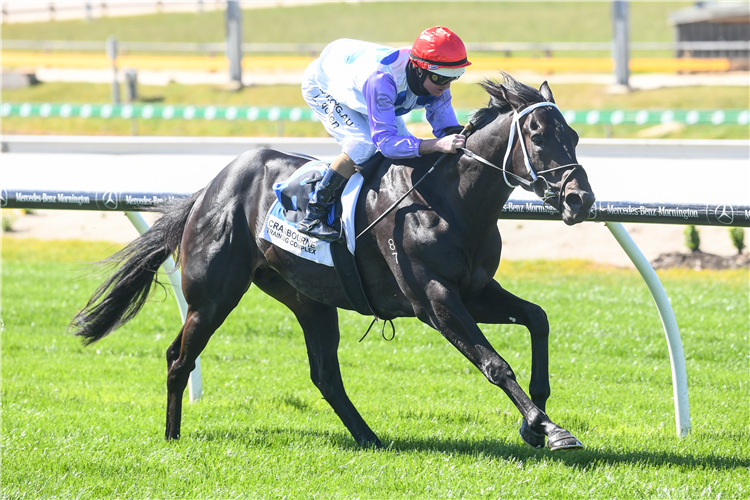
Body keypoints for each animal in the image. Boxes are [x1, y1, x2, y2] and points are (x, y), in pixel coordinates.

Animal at [73, 74, 596, 454]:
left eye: (572, 134)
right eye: (536, 135)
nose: (580, 199)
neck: (451, 200)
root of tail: (209, 189)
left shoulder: (475, 290)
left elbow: (538, 319)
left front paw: (537, 420)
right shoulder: (434, 299)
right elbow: (494, 363)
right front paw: (546, 427)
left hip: (309, 299)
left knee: (325, 375)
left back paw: (369, 437)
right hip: (214, 297)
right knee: (179, 358)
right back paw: (172, 436)